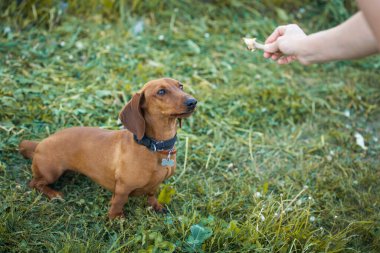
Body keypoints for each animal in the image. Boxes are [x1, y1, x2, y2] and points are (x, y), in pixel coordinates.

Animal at [18, 78, 197, 218]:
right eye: (161, 92)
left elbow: (151, 195)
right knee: (34, 183)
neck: (154, 147)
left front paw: (156, 206)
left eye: (181, 86)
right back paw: (54, 194)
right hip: (51, 173)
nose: (193, 102)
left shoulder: (155, 185)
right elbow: (118, 203)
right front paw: (116, 218)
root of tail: (41, 142)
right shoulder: (123, 188)